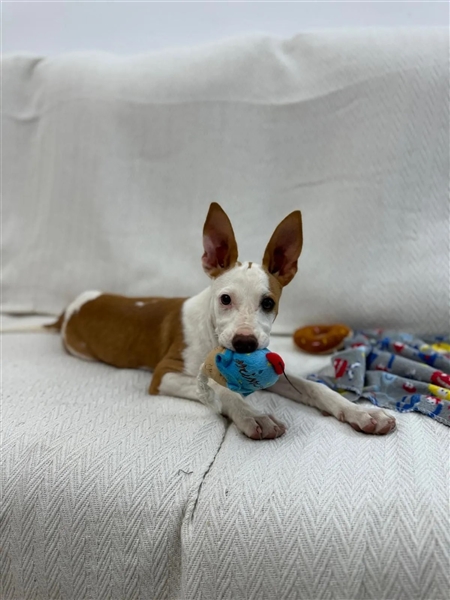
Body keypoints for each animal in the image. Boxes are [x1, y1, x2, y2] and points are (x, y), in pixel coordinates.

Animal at [45, 203, 396, 439]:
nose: (245, 344)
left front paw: (361, 412)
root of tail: (71, 307)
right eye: (225, 299)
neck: (210, 329)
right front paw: (253, 415)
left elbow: (315, 387)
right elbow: (219, 388)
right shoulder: (163, 374)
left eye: (268, 303)